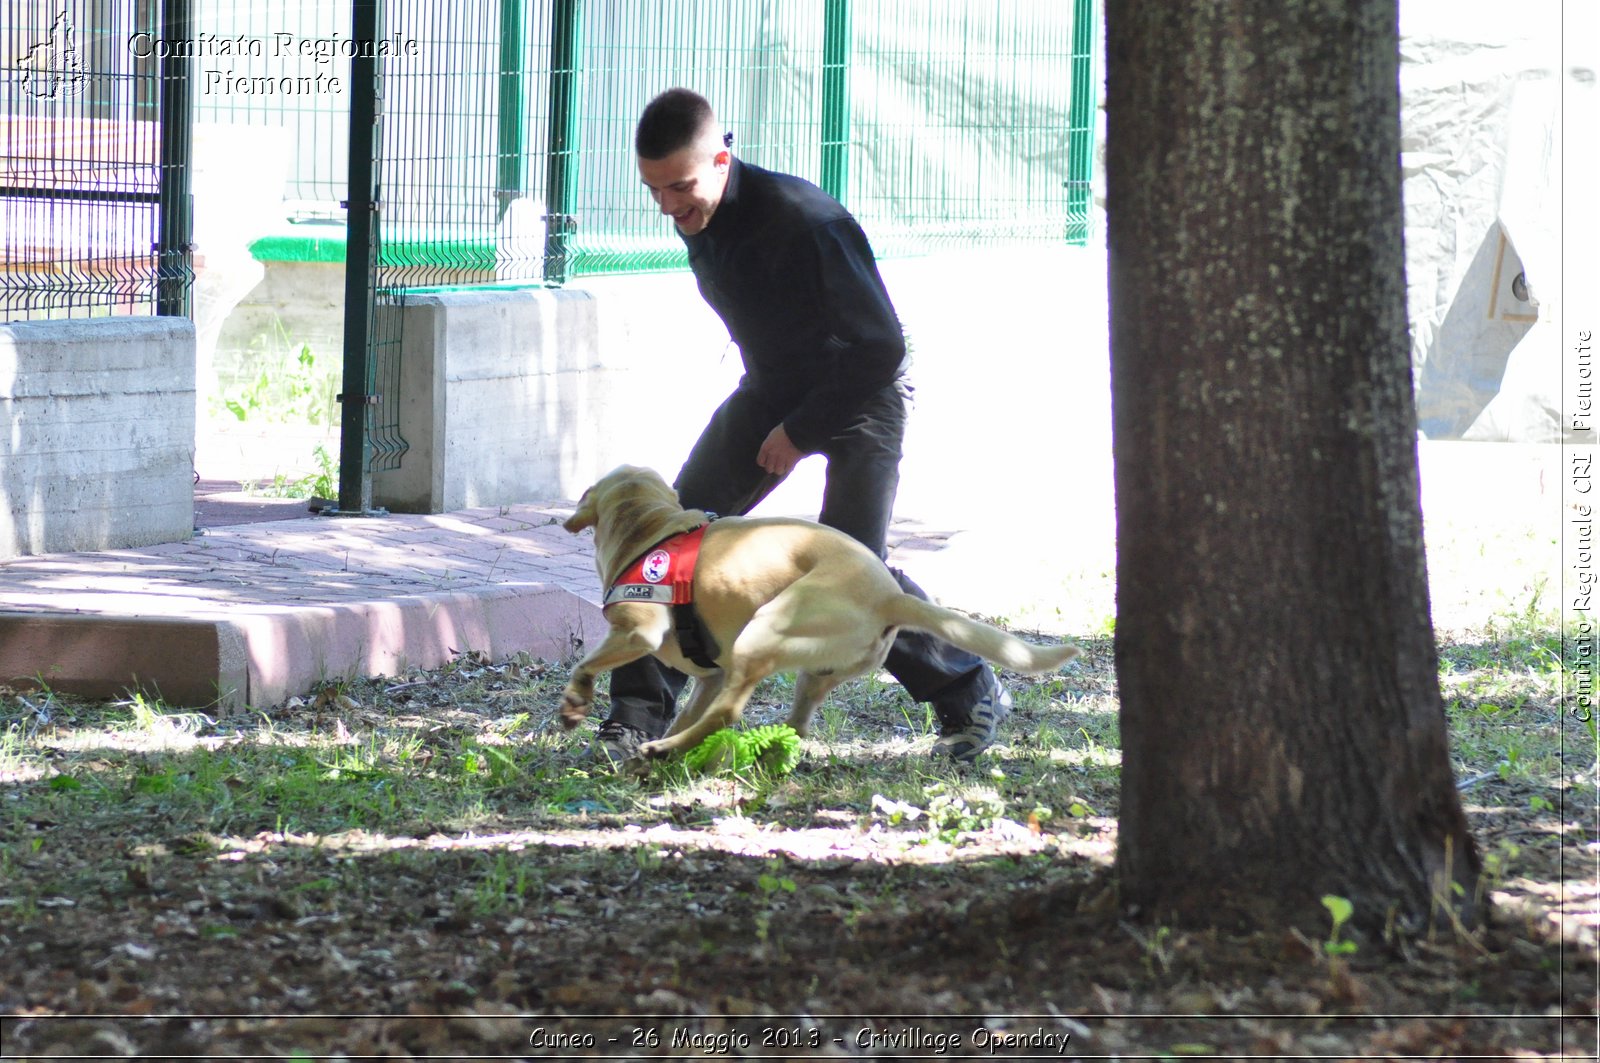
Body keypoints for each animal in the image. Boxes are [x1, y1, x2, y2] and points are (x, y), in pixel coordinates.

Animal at [560, 464, 1075, 755]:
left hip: (763, 631)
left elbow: (587, 664)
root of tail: (890, 595)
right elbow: (692, 711)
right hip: (811, 674)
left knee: (729, 714)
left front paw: (576, 703)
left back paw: (667, 749)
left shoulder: (638, 633)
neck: (651, 528)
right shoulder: (710, 676)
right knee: (792, 727)